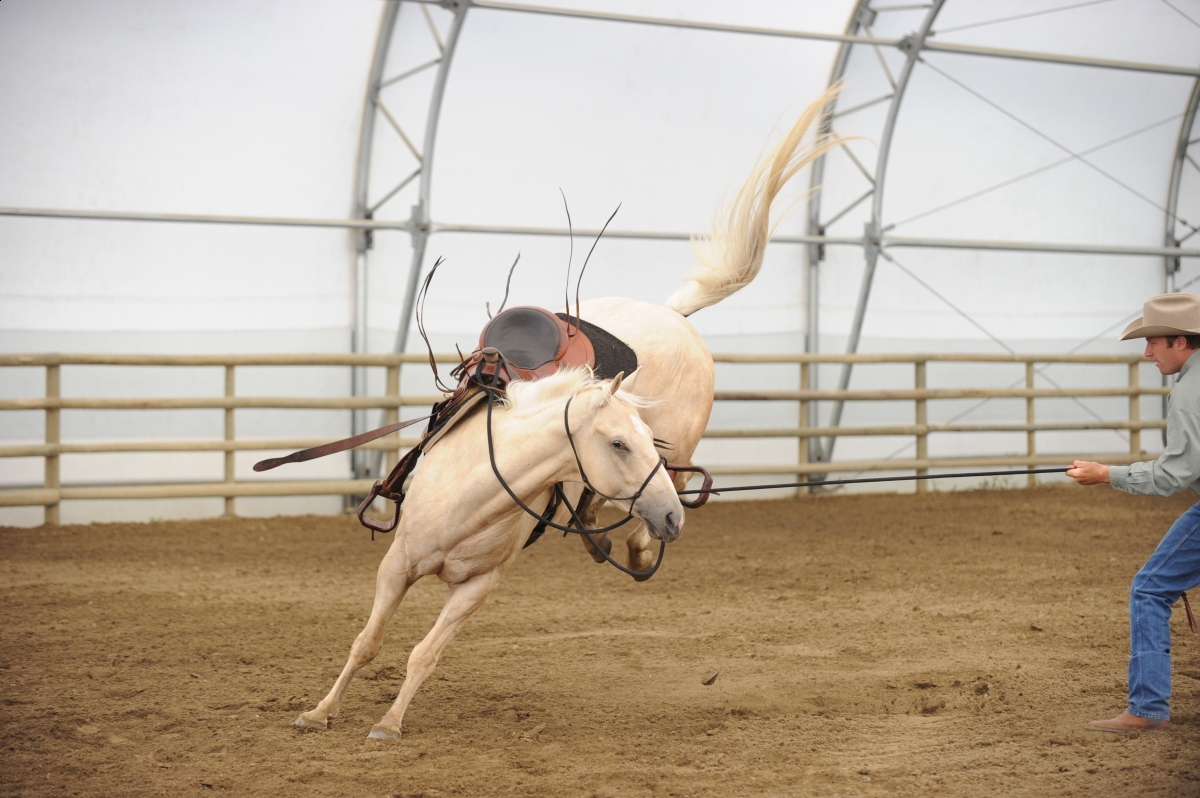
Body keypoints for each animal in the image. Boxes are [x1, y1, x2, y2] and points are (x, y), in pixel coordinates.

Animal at [293, 89, 839, 740]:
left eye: (644, 442)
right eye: (620, 443)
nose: (674, 520)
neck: (473, 491)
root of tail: (674, 314)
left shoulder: (478, 587)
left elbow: (424, 652)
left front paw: (390, 723)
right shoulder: (395, 564)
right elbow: (367, 642)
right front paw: (320, 712)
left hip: (679, 462)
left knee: (647, 512)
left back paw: (638, 546)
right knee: (606, 511)